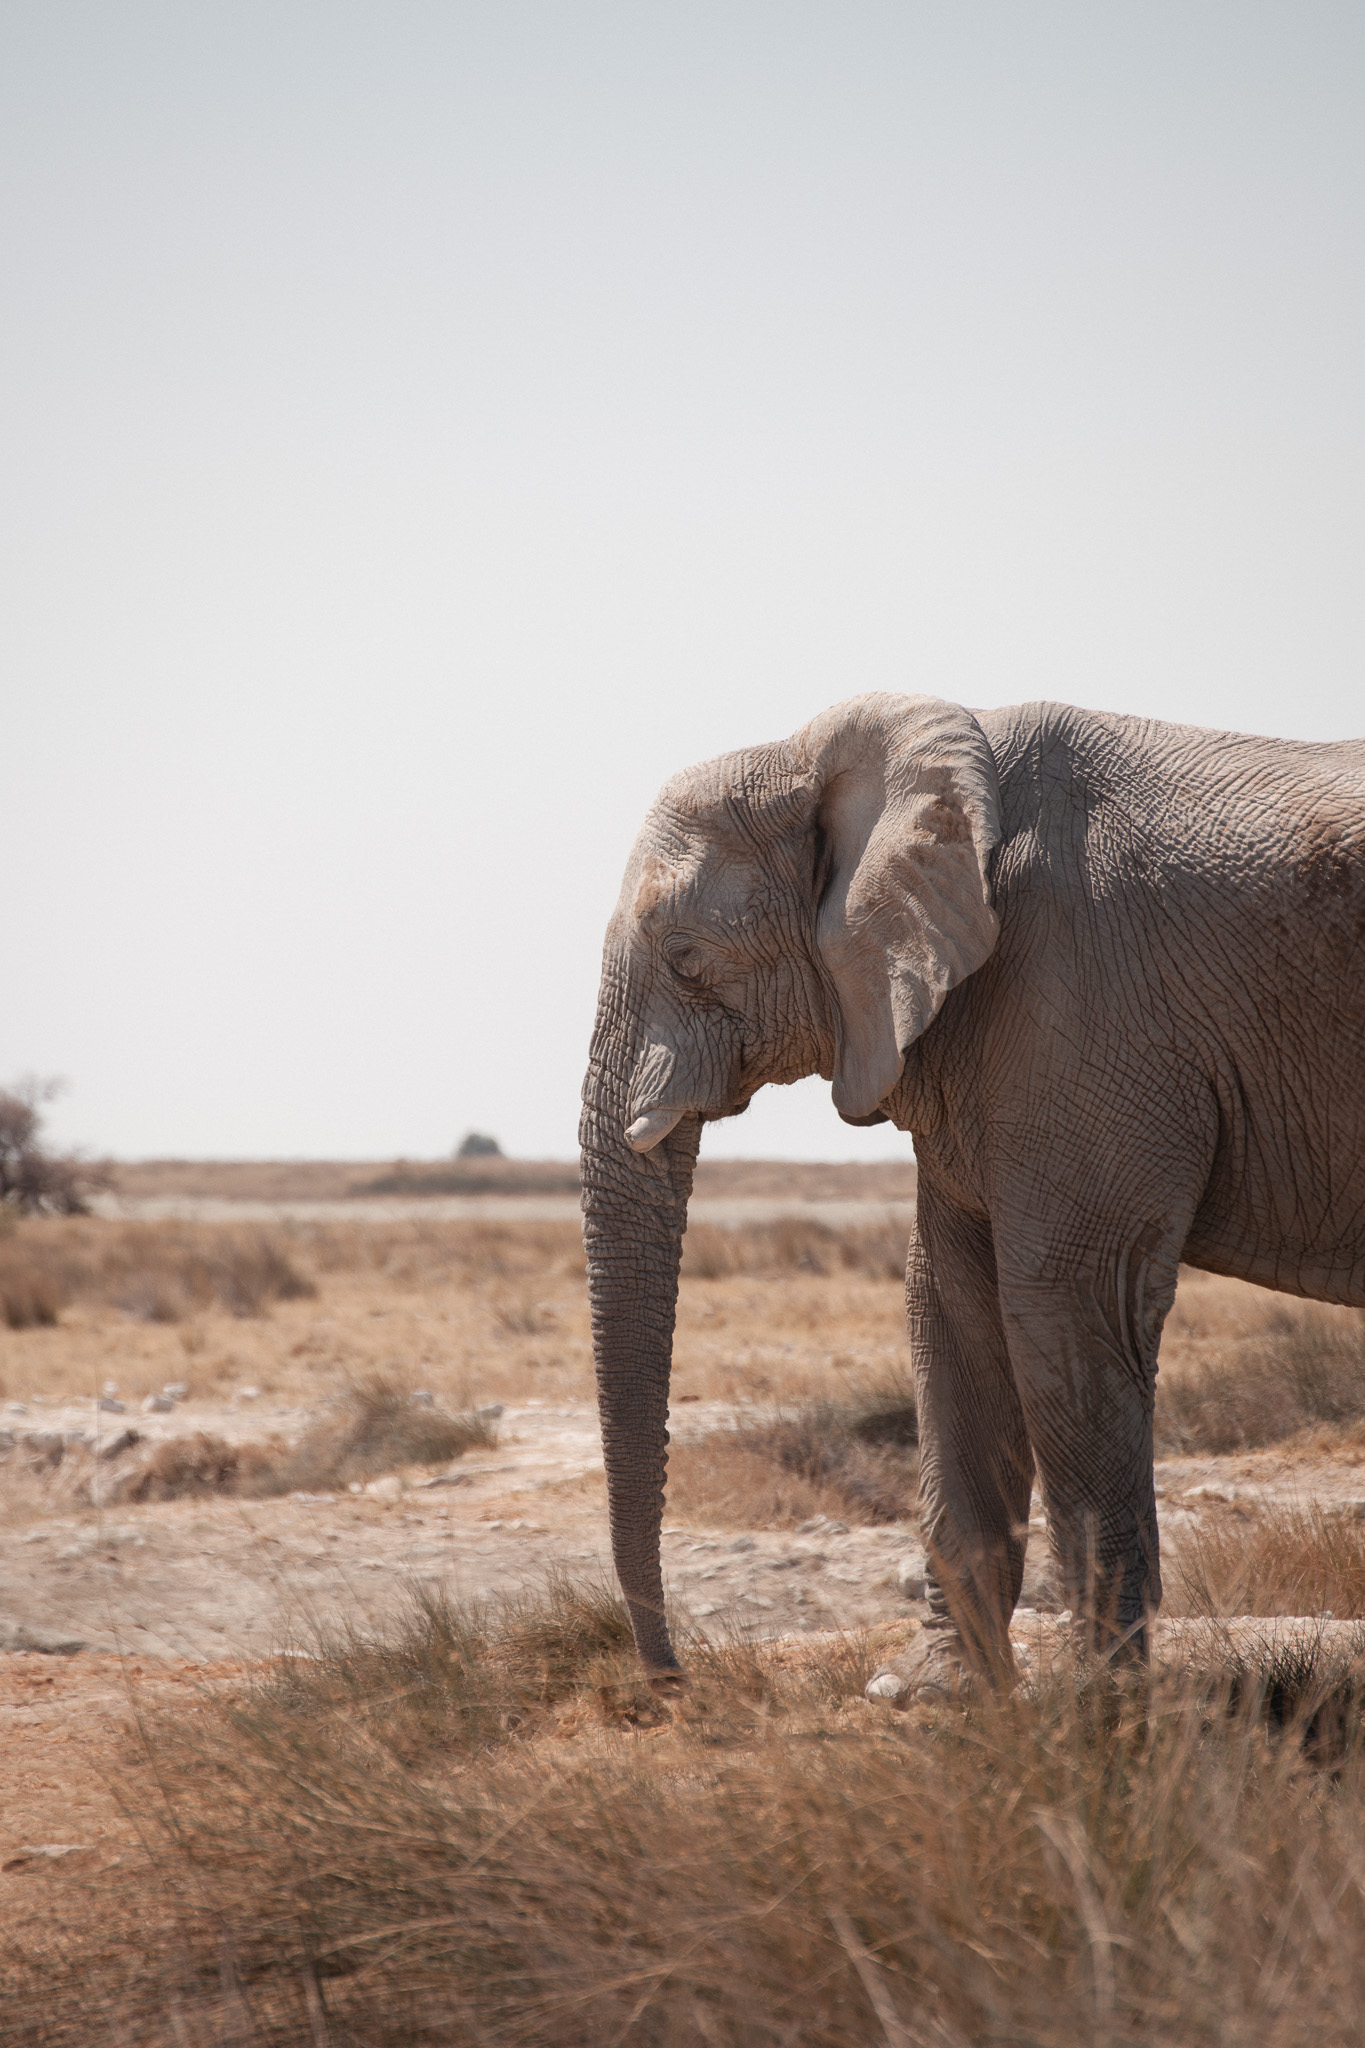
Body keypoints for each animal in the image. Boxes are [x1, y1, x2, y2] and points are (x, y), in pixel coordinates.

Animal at [579, 692, 1365, 1695]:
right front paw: (934, 1694)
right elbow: (948, 1306)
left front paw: (1097, 1700)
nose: (674, 1681)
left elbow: (1062, 1301)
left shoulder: (1078, 998)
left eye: (685, 958)